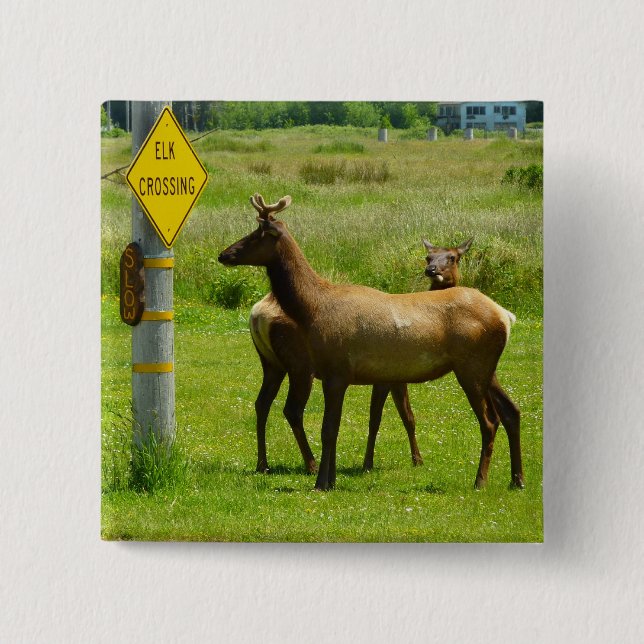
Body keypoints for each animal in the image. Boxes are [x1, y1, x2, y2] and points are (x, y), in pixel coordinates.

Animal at [249, 232, 473, 475]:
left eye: (452, 257)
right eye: (428, 256)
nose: (432, 270)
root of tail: (257, 314)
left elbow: (402, 416)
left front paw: (410, 459)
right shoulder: (389, 376)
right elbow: (387, 417)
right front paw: (388, 462)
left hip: (272, 363)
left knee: (262, 403)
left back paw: (263, 464)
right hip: (300, 365)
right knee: (292, 410)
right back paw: (311, 464)